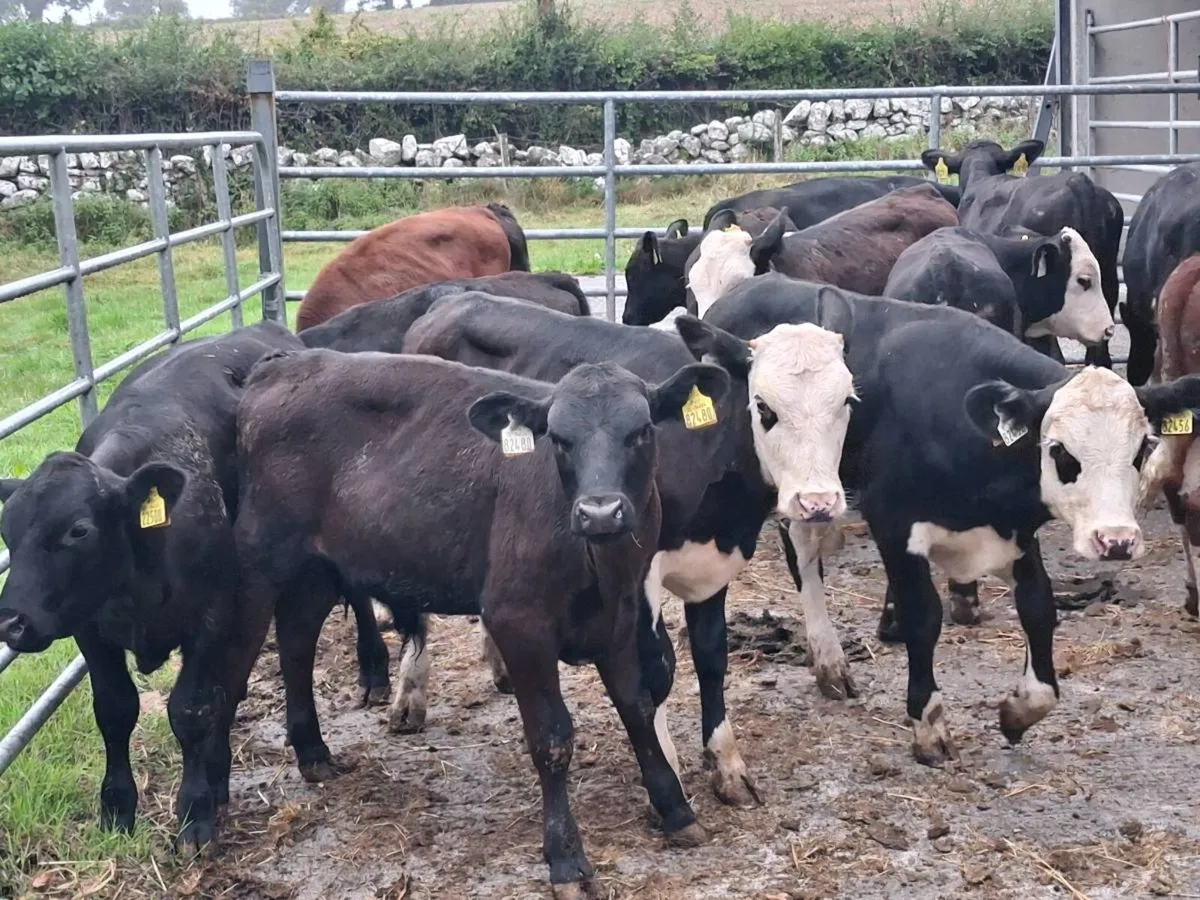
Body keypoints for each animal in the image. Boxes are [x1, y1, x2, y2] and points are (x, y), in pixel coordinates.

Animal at [0, 321, 322, 855]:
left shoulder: (210, 616)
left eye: (79, 531)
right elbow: (115, 709)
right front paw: (117, 807)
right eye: (7, 530)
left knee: (284, 652)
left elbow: (190, 709)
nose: (12, 623)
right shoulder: (91, 629)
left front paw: (195, 814)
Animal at [232, 347, 730, 897]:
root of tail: (286, 362)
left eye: (641, 431)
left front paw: (675, 809)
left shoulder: (621, 616)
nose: (600, 512)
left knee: (297, 640)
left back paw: (313, 751)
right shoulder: (519, 624)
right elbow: (552, 738)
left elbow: (637, 708)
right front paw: (566, 859)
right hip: (260, 563)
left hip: (318, 570)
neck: (598, 563)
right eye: (559, 439)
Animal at [330, 288, 859, 808]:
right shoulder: (637, 568)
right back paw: (409, 695)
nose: (817, 502)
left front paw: (727, 766)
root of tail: (451, 300)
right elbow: (655, 668)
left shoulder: (712, 561)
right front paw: (667, 778)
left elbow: (711, 658)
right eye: (765, 407)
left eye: (847, 402)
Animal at [692, 272, 1200, 765]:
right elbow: (924, 616)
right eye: (1059, 451)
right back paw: (830, 660)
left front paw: (1019, 709)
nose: (1115, 540)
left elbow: (1038, 608)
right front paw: (929, 724)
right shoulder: (894, 523)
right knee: (803, 556)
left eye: (1142, 448)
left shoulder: (1014, 532)